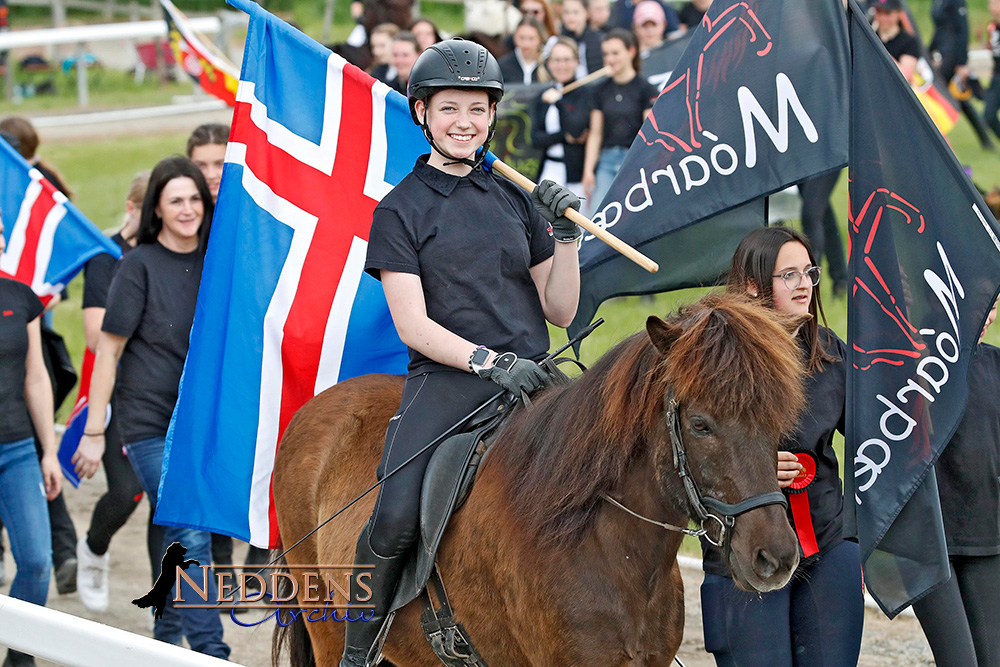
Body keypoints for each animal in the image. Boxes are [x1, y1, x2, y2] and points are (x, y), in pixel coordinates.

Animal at [272, 296, 804, 667]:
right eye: (699, 424)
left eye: (777, 419)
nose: (775, 558)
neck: (603, 541)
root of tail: (312, 409)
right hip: (326, 623)